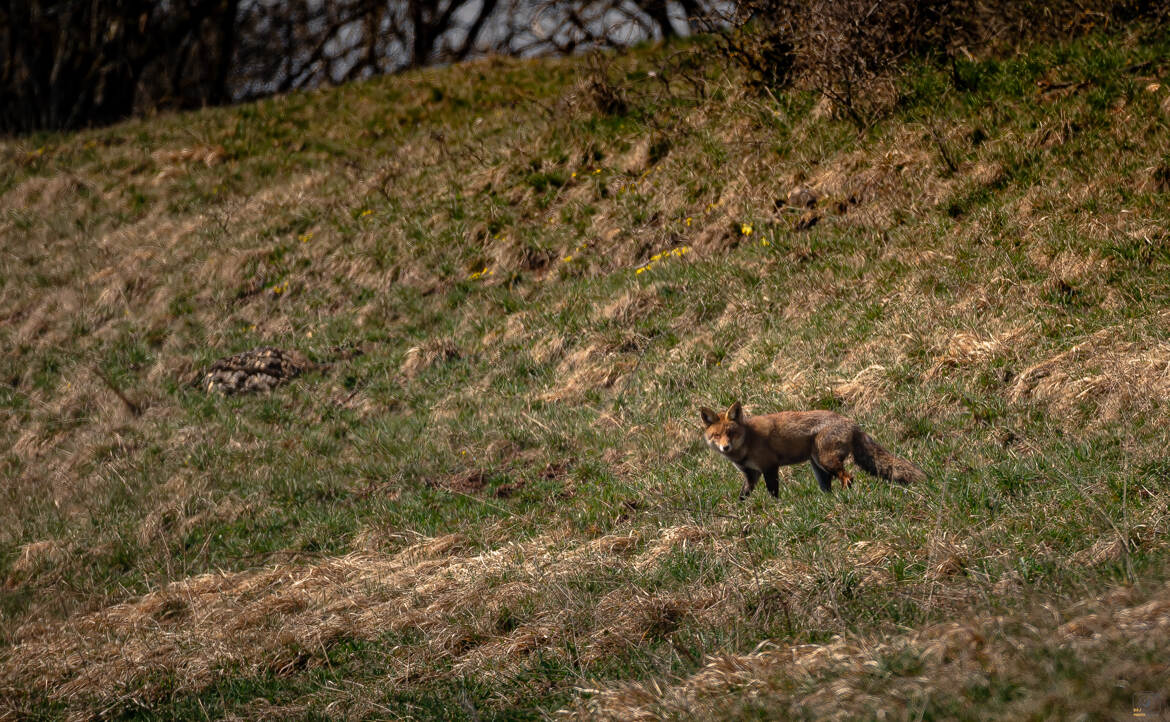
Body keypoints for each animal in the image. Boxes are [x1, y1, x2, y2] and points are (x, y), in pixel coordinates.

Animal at [697, 402, 926, 498]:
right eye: (716, 435)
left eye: (731, 433)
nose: (725, 447)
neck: (746, 445)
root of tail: (851, 422)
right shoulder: (751, 475)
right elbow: (742, 496)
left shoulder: (770, 467)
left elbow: (773, 493)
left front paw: (776, 509)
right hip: (818, 468)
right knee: (830, 487)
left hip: (827, 461)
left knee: (848, 478)